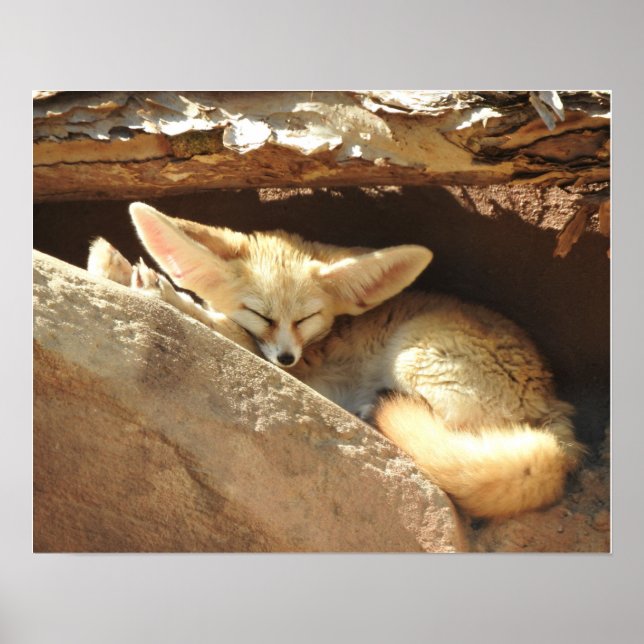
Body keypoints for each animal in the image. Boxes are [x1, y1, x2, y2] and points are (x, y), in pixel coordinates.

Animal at [87, 201, 585, 519]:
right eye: (262, 313)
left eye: (307, 318)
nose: (287, 358)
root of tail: (557, 411)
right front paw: (111, 265)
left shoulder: (285, 359)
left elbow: (214, 323)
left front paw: (157, 289)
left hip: (411, 354)